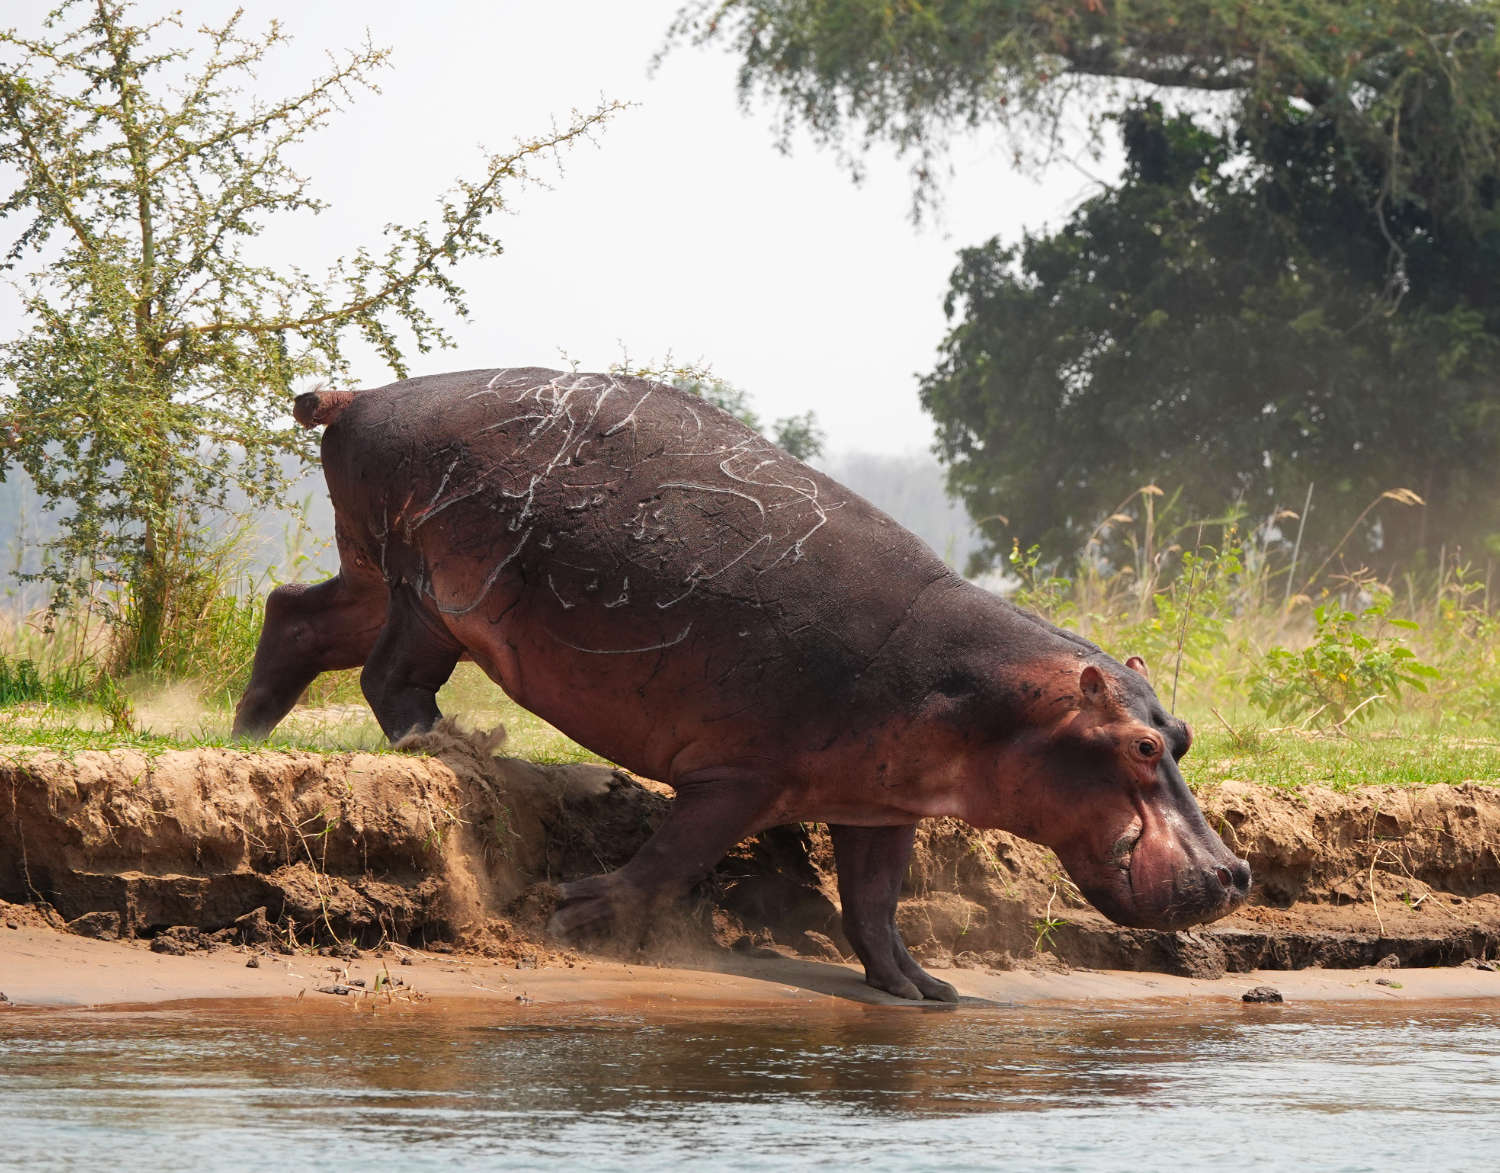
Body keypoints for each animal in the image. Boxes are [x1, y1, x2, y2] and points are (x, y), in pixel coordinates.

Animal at [234, 367, 1248, 1002]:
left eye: (1184, 735)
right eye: (1141, 745)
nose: (1235, 871)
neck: (993, 696)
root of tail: (361, 394)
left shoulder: (882, 805)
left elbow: (875, 905)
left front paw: (925, 990)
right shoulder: (738, 775)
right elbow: (673, 858)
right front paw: (574, 910)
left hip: (375, 569)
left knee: (296, 614)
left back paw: (249, 736)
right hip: (431, 592)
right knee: (388, 675)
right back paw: (438, 742)